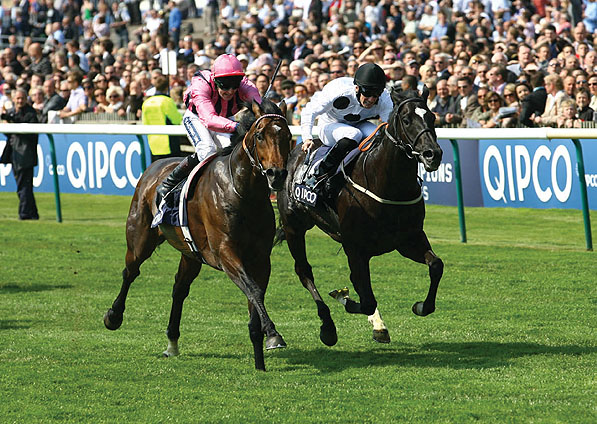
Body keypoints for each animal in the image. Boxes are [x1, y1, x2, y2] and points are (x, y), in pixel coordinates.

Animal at [103, 99, 292, 372]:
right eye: (259, 136)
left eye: (288, 136)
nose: (276, 175)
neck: (243, 191)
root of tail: (154, 166)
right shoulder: (225, 253)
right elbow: (254, 291)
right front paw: (273, 334)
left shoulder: (260, 258)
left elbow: (254, 294)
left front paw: (262, 349)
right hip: (140, 238)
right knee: (130, 271)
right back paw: (113, 316)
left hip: (190, 253)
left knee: (179, 289)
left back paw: (172, 343)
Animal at [274, 88, 442, 346]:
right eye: (406, 120)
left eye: (432, 117)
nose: (433, 154)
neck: (387, 185)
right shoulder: (355, 247)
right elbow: (366, 299)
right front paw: (344, 299)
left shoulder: (408, 240)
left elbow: (436, 265)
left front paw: (421, 306)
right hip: (294, 227)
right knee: (304, 271)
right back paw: (327, 327)